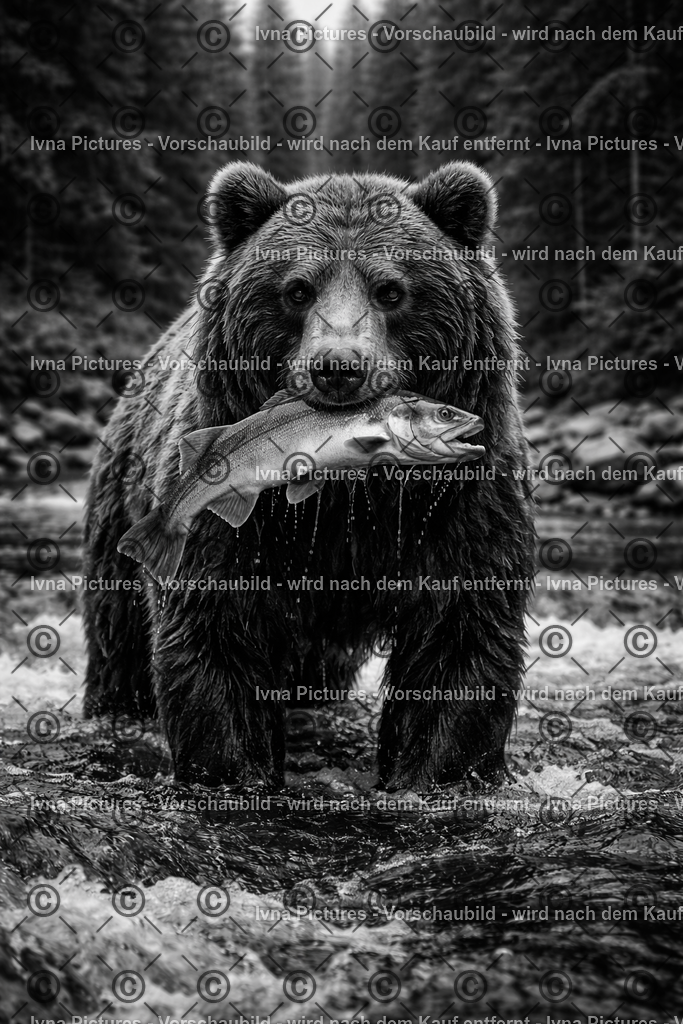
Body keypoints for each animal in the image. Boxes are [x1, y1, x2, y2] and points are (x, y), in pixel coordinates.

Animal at [82, 160, 535, 791]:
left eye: (391, 289)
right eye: (298, 289)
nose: (338, 368)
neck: (356, 495)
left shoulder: (458, 505)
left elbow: (458, 638)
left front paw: (438, 774)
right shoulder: (244, 527)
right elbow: (217, 635)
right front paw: (234, 772)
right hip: (129, 502)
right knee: (118, 632)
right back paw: (117, 707)